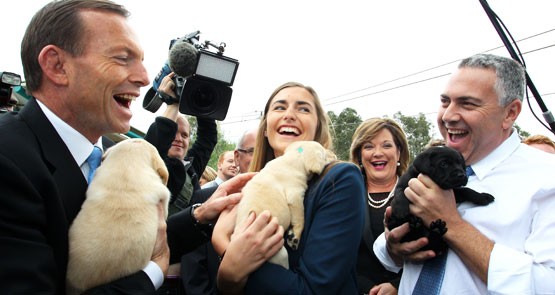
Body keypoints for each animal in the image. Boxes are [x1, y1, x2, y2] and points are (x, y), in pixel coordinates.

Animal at [236, 142, 334, 270]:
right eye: (324, 155)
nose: (335, 154)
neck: (293, 158)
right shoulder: (295, 196)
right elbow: (301, 219)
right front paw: (295, 236)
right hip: (281, 254)